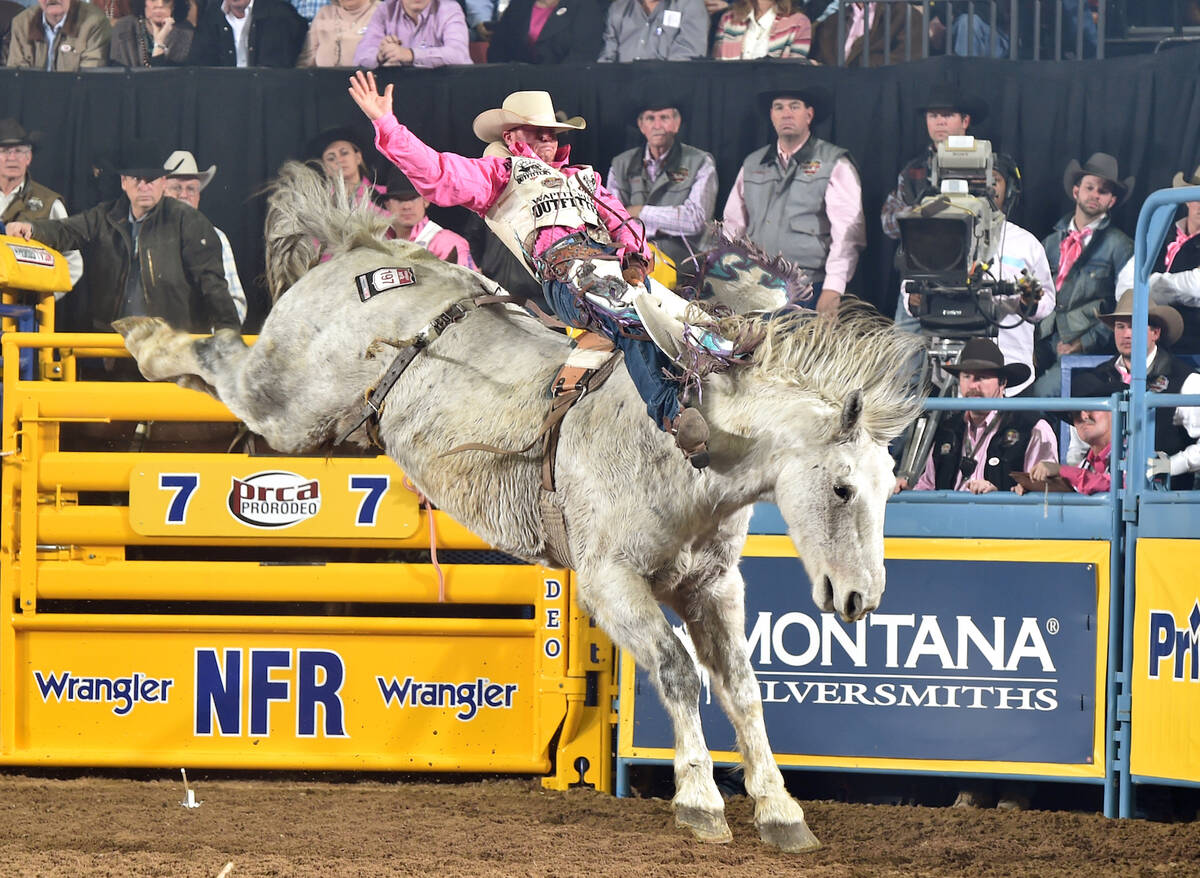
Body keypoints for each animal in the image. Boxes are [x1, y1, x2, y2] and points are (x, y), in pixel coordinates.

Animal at [114, 160, 926, 854]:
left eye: (890, 487)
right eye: (842, 487)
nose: (861, 598)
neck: (692, 446)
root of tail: (362, 250)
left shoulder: (712, 585)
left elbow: (743, 690)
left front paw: (781, 811)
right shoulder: (609, 582)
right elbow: (676, 672)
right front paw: (700, 803)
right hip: (288, 405)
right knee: (222, 356)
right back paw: (148, 338)